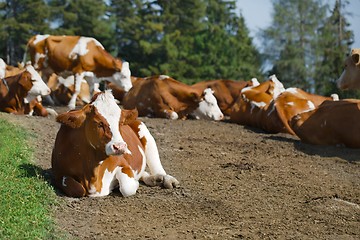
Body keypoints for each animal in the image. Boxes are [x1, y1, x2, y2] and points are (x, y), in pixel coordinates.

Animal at [51, 90, 179, 197]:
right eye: (99, 123)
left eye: (120, 123)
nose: (120, 147)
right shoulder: (58, 174)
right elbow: (78, 190)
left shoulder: (123, 164)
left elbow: (127, 187)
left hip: (145, 132)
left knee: (157, 165)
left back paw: (165, 179)